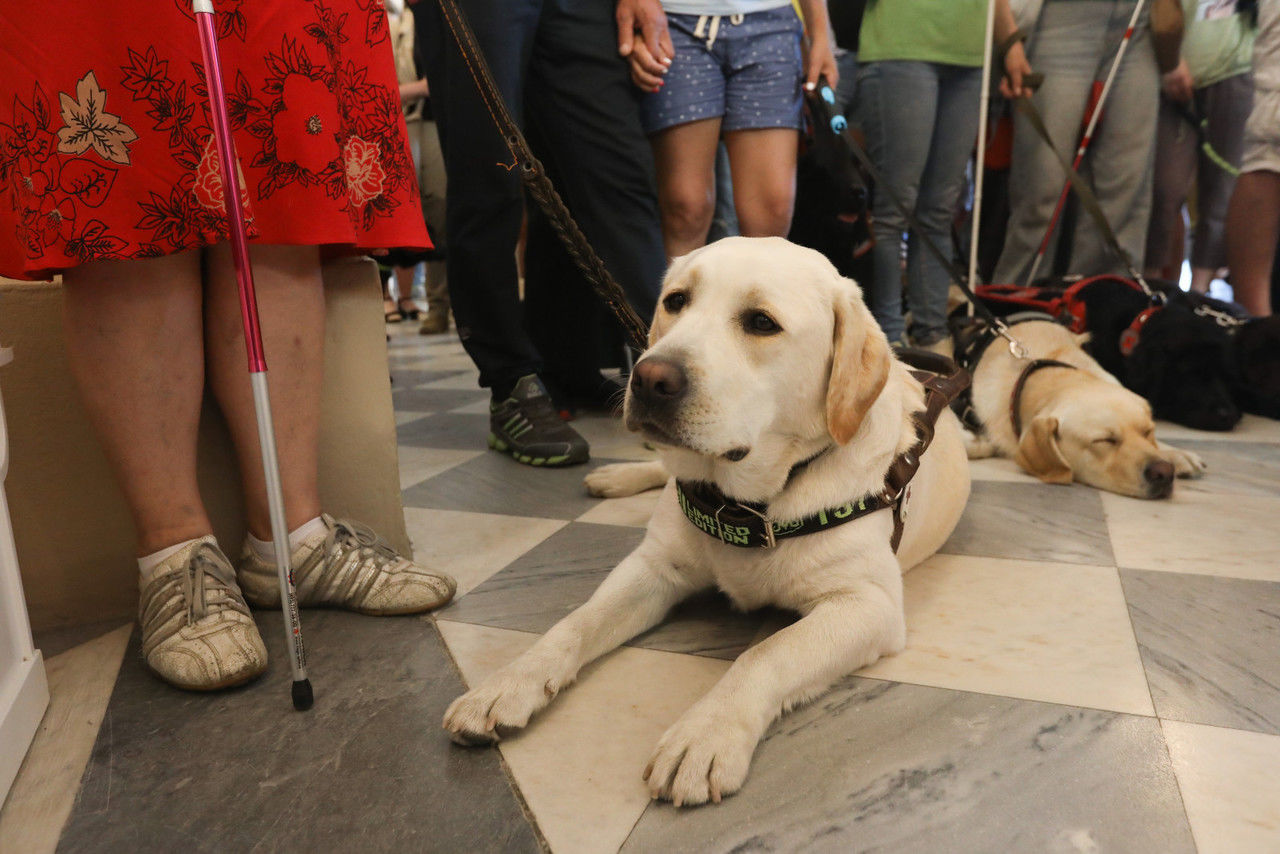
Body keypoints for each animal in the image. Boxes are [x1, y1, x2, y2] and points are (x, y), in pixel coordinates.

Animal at [445, 236, 962, 804]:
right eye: (676, 301)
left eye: (761, 322)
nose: (648, 377)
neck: (749, 504)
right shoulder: (653, 567)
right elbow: (576, 622)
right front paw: (508, 684)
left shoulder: (867, 605)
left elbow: (766, 654)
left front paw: (705, 734)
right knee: (661, 467)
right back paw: (616, 477)